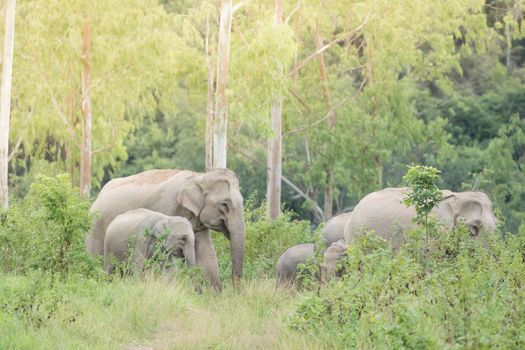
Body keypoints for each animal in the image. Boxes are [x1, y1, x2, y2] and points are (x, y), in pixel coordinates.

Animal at [86, 168, 246, 292]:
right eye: (225, 204)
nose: (236, 292)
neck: (199, 176)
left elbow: (207, 252)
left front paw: (215, 298)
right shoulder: (165, 206)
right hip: (95, 229)